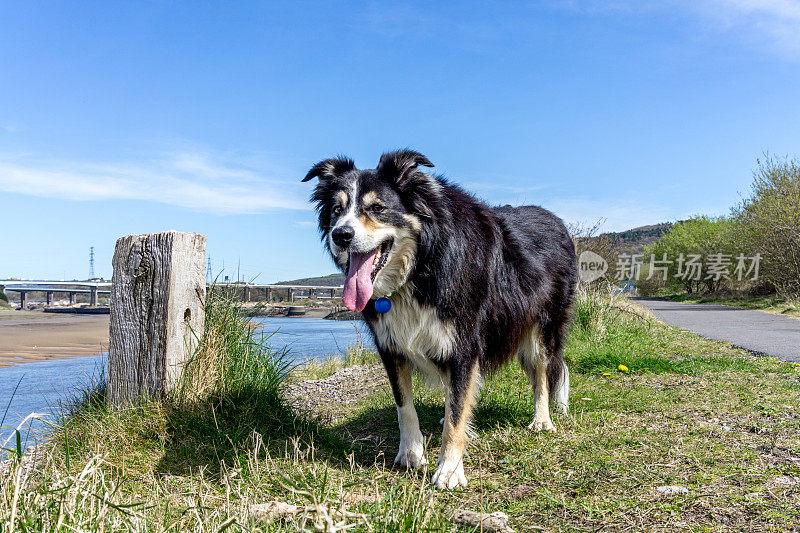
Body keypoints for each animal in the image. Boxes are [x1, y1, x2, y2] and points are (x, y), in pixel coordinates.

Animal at [304, 151, 576, 490]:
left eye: (378, 208)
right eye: (337, 210)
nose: (340, 235)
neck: (421, 266)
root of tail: (556, 220)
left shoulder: (464, 343)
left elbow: (459, 407)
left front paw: (449, 469)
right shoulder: (390, 346)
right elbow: (405, 404)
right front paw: (410, 454)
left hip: (543, 326)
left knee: (541, 373)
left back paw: (542, 419)